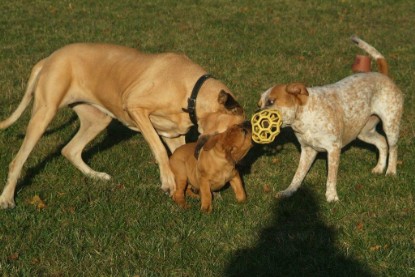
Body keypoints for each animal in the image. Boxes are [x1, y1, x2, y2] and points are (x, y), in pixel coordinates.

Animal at [0, 43, 245, 207]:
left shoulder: (174, 136)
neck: (192, 93)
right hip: (44, 114)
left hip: (98, 119)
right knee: (17, 161)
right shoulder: (136, 108)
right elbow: (159, 150)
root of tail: (49, 58)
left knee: (70, 150)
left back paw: (96, 176)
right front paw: (167, 181)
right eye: (232, 132)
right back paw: (7, 198)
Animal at [258, 36, 404, 201]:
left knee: (393, 147)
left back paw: (390, 171)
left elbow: (331, 177)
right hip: (364, 132)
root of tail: (383, 75)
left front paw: (331, 196)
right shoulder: (308, 150)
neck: (305, 117)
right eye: (259, 104)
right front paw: (289, 191)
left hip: (391, 126)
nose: (255, 116)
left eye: (271, 102)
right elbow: (298, 175)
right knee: (382, 143)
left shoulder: (333, 149)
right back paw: (379, 168)